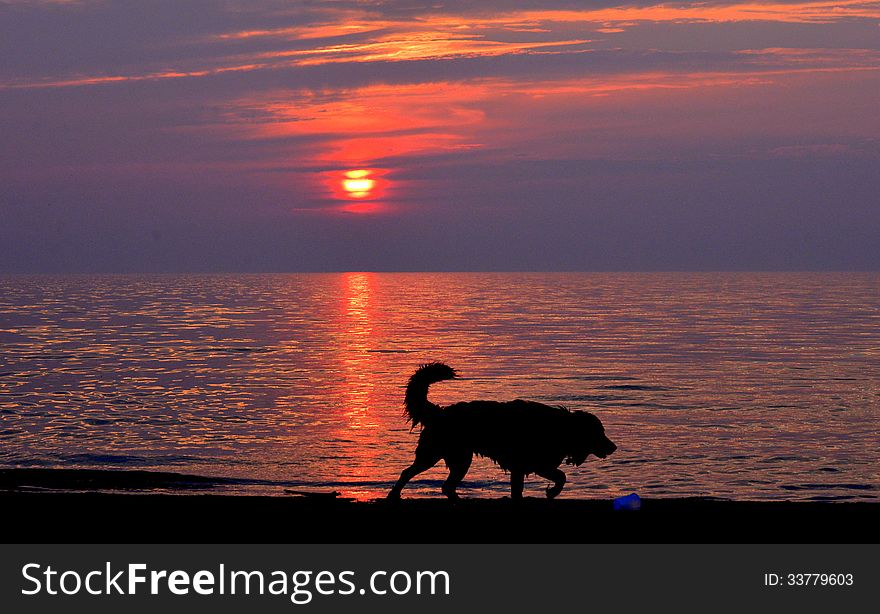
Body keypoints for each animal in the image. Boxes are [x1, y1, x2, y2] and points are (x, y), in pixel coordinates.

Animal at [388, 366, 616, 500]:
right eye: (599, 432)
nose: (614, 447)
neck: (561, 428)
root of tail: (439, 411)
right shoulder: (531, 464)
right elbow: (561, 476)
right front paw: (552, 492)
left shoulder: (531, 465)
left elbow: (547, 480)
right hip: (436, 455)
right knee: (408, 473)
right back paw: (394, 494)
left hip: (459, 459)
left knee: (446, 486)